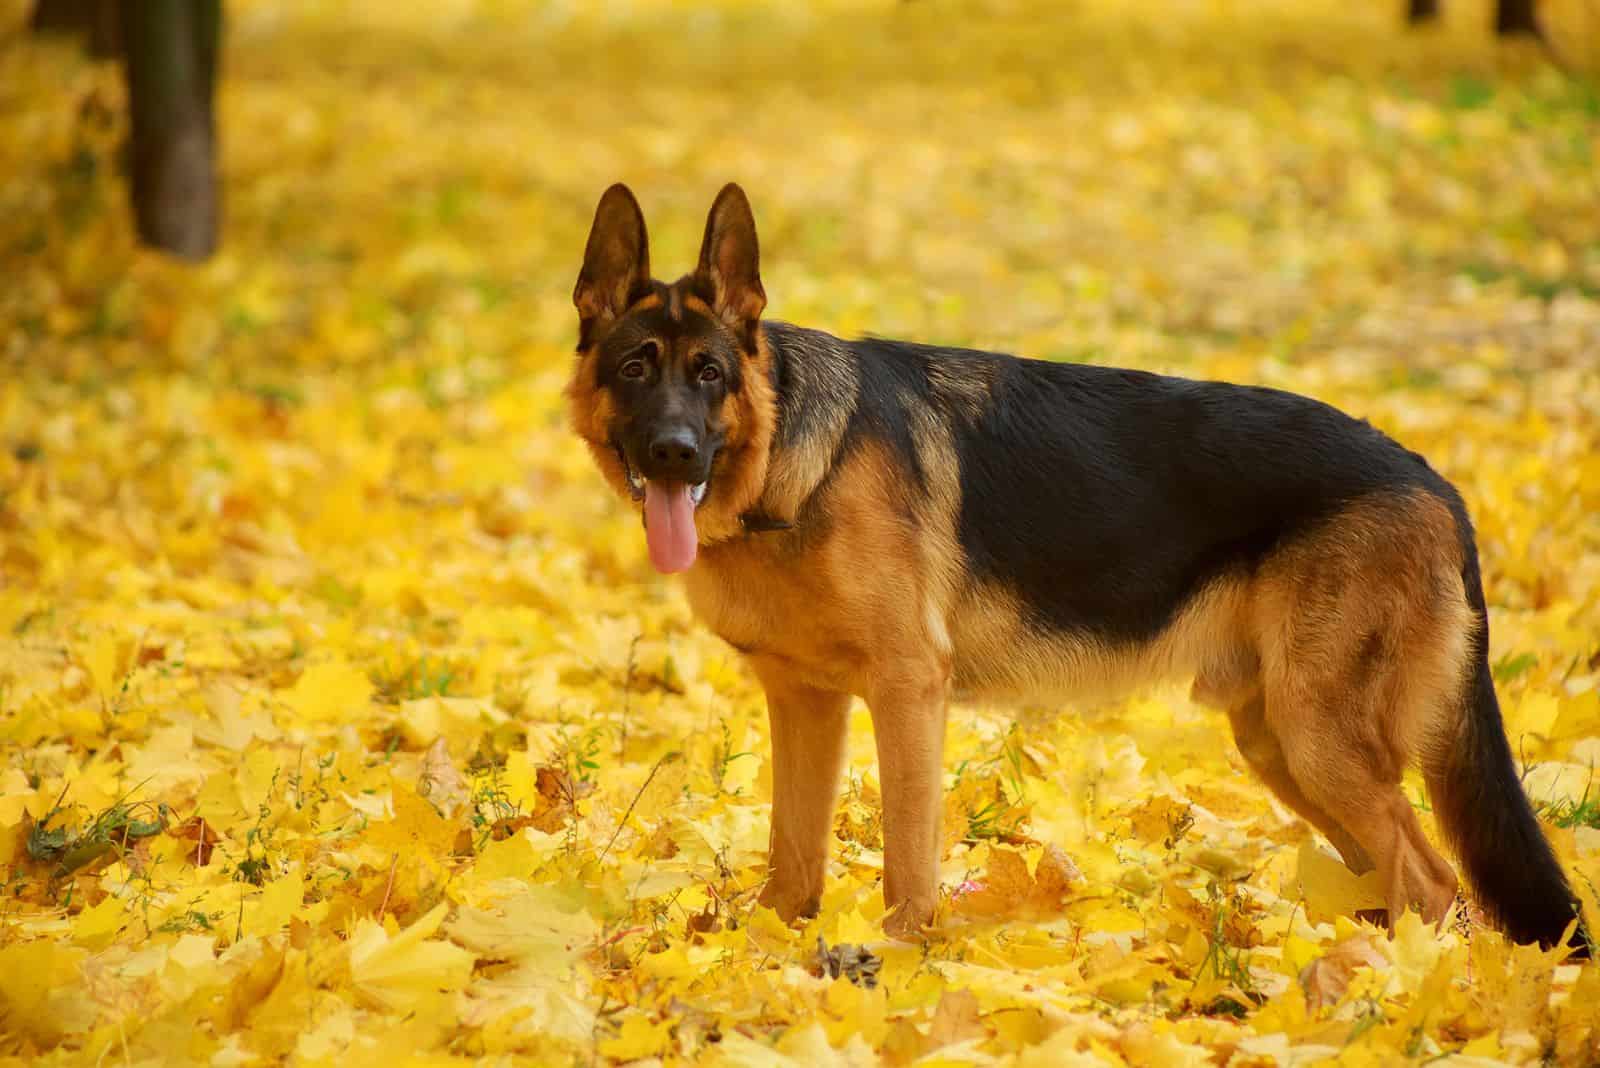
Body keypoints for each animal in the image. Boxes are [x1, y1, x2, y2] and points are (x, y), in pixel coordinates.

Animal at [569, 179, 1580, 946]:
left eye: (709, 374)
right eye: (635, 368)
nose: (673, 455)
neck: (790, 463)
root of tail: (1433, 479)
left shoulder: (907, 690)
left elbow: (906, 859)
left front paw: (896, 965)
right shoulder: (806, 702)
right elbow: (793, 854)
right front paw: (768, 956)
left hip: (1319, 738)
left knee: (1434, 882)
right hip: (1285, 745)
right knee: (1397, 877)